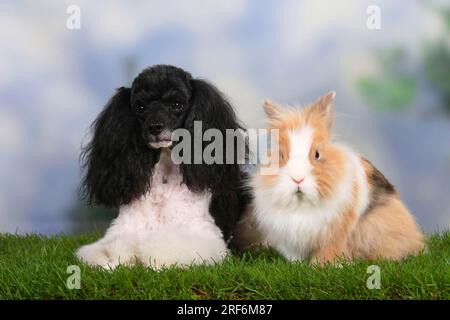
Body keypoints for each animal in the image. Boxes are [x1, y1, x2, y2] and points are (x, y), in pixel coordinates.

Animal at [248, 90, 424, 264]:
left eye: (317, 154)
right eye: (282, 155)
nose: (297, 179)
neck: (302, 205)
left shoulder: (335, 233)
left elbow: (328, 251)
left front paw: (321, 265)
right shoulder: (290, 238)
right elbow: (294, 256)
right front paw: (296, 264)